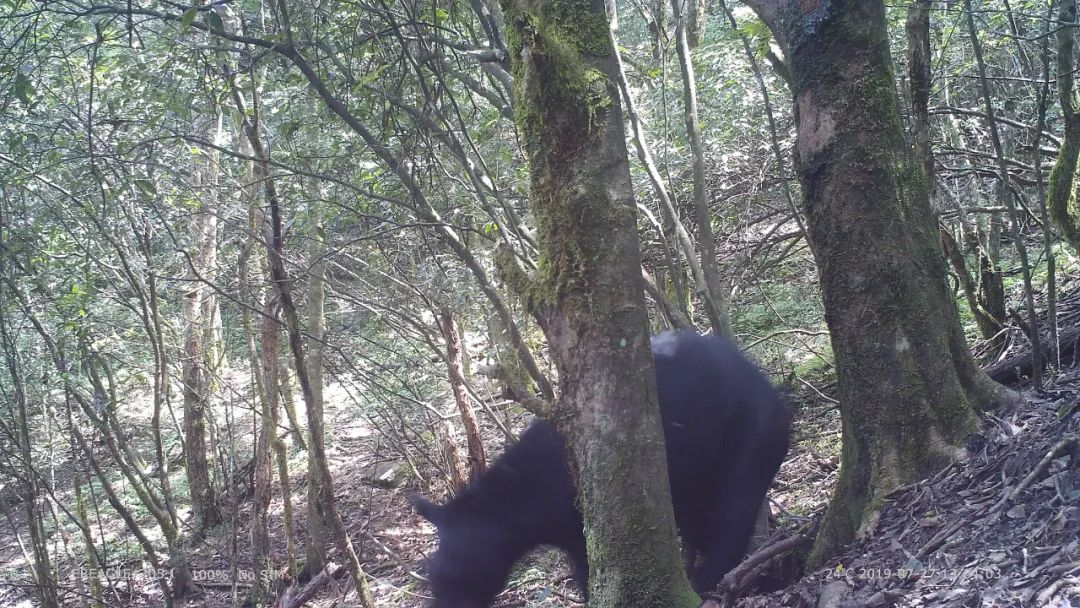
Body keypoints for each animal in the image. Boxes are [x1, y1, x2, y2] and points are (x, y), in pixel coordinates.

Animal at [408, 330, 790, 604]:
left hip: (750, 433)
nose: (441, 603)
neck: (521, 498)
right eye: (432, 577)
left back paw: (709, 581)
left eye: (457, 574)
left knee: (733, 511)